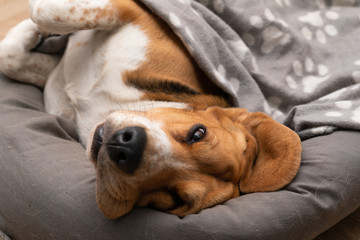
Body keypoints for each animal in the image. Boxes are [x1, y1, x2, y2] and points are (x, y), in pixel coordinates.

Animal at [0, 0, 302, 218]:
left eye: (175, 198)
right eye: (197, 133)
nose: (128, 146)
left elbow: (16, 54)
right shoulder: (133, 11)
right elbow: (44, 18)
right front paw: (32, 30)